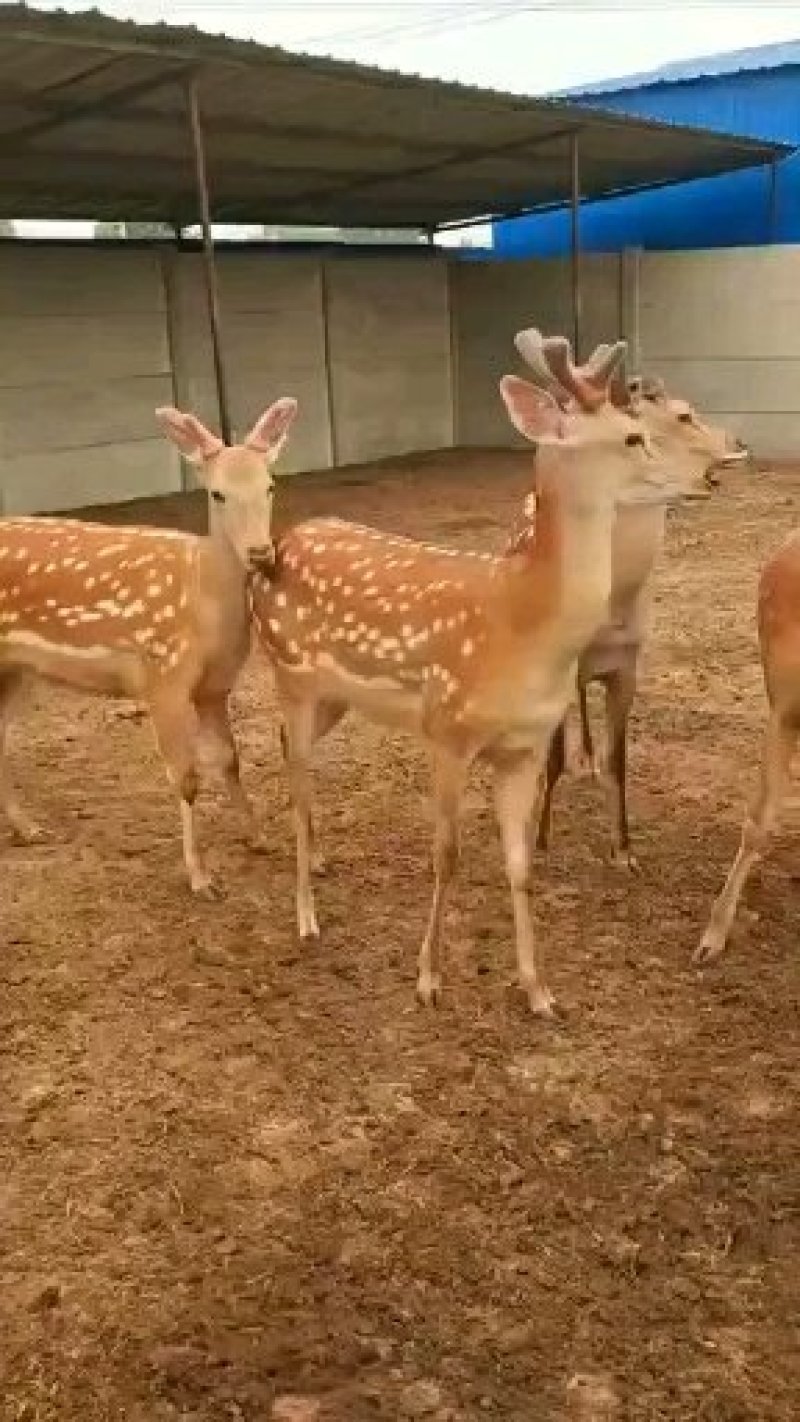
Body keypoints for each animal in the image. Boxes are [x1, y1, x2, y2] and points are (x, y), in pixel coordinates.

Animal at [0, 397, 297, 897]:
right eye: (217, 493)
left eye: (271, 485)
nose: (260, 552)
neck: (204, 604)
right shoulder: (163, 675)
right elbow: (186, 777)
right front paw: (201, 878)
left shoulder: (215, 686)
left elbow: (229, 759)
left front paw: (259, 838)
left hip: (18, 670)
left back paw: (29, 829)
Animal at [249, 331, 712, 1017]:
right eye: (634, 436)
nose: (706, 476)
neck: (521, 625)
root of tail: (275, 548)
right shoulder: (447, 730)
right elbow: (447, 855)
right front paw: (428, 979)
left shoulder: (521, 747)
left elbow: (519, 865)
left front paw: (539, 991)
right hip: (290, 674)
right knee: (298, 771)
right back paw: (306, 917)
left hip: (334, 697)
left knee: (288, 752)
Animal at [521, 336, 748, 870]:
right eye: (684, 414)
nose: (738, 443)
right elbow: (553, 759)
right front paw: (541, 840)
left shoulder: (627, 663)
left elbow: (619, 758)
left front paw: (624, 849)